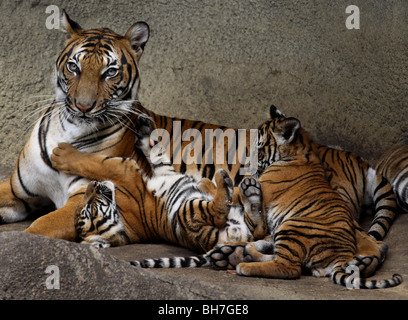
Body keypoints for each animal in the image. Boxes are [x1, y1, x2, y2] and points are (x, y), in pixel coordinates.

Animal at [0, 10, 253, 240]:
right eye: (74, 67)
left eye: (110, 72)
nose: (83, 106)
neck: (69, 128)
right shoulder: (17, 190)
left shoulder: (86, 198)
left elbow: (38, 228)